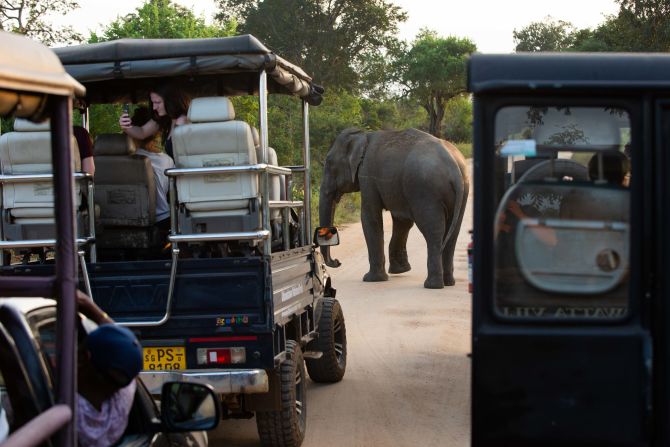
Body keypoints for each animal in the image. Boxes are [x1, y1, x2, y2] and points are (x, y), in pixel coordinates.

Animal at [322, 128, 470, 288]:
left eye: (329, 163)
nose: (337, 262)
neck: (363, 135)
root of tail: (454, 168)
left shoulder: (367, 175)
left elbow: (369, 216)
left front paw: (371, 279)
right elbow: (402, 221)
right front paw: (400, 270)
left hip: (426, 191)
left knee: (433, 231)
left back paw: (432, 285)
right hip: (462, 191)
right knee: (452, 233)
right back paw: (448, 282)